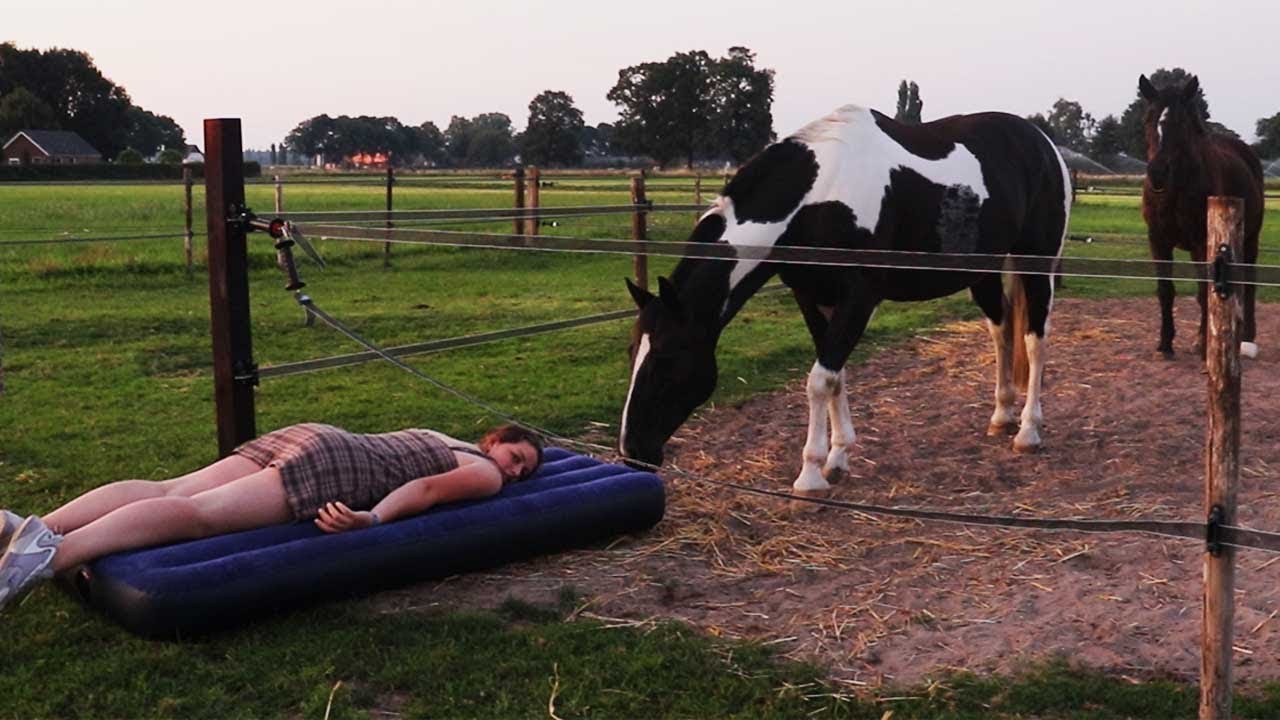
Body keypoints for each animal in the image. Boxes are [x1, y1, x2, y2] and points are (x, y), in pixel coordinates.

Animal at [618, 104, 1071, 492]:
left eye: (667, 360)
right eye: (632, 351)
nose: (632, 454)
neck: (816, 199)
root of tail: (1043, 144)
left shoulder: (860, 297)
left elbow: (820, 380)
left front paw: (810, 475)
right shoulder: (812, 296)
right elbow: (836, 376)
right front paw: (837, 458)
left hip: (1036, 263)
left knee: (1035, 340)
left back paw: (1028, 431)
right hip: (984, 272)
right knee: (1001, 333)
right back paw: (1002, 416)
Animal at [1138, 74, 1264, 359]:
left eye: (1180, 123)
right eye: (1148, 119)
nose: (1157, 173)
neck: (1176, 188)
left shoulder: (1202, 242)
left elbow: (1204, 290)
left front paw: (1205, 346)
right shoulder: (1158, 240)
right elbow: (1166, 290)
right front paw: (1165, 343)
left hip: (1250, 239)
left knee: (1249, 283)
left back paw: (1247, 339)